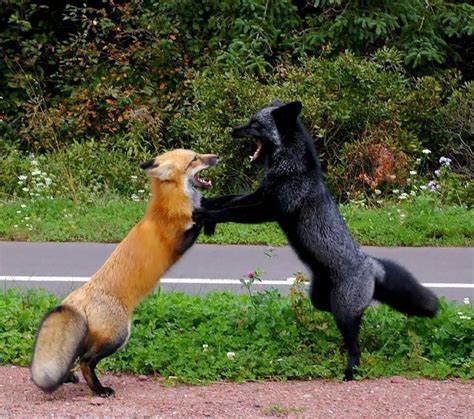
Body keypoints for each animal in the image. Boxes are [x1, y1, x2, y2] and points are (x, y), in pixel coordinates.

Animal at [30, 150, 219, 398]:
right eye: (194, 159)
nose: (216, 156)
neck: (168, 206)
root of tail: (75, 298)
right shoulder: (179, 242)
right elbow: (198, 220)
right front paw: (208, 214)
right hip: (118, 336)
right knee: (86, 360)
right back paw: (99, 389)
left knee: (77, 357)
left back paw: (70, 378)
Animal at [194, 101, 438, 380]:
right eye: (250, 120)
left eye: (256, 124)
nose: (232, 130)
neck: (288, 169)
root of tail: (368, 264)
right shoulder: (259, 195)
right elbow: (226, 199)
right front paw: (206, 206)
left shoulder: (270, 209)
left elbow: (230, 212)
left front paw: (206, 216)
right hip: (322, 299)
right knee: (344, 316)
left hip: (343, 311)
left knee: (356, 345)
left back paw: (350, 370)